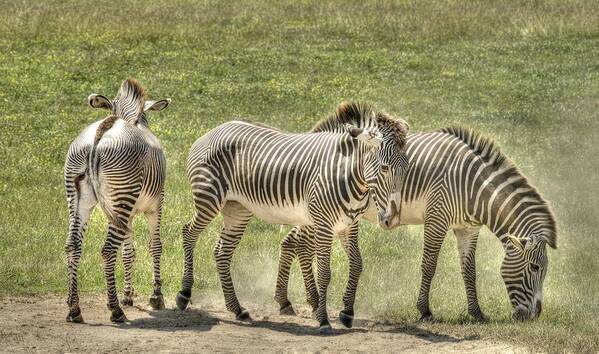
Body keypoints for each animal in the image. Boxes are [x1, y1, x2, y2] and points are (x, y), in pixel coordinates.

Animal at [63, 78, 171, 324]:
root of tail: (100, 133)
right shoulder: (156, 204)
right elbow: (155, 246)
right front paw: (156, 296)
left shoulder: (125, 213)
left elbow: (129, 252)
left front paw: (128, 295)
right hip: (122, 196)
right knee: (108, 250)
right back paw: (115, 310)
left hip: (78, 196)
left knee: (73, 245)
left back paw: (74, 308)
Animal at [173, 101, 408, 334]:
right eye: (385, 168)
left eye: (406, 168)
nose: (392, 220)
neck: (348, 173)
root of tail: (214, 130)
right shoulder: (323, 224)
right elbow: (324, 272)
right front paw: (323, 319)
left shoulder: (348, 224)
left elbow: (357, 264)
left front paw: (347, 313)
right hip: (209, 198)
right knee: (189, 233)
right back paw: (184, 294)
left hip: (237, 209)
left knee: (222, 251)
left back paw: (238, 309)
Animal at [276, 128, 556, 324]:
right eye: (534, 268)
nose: (534, 317)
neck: (473, 187)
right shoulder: (437, 218)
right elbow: (429, 265)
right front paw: (425, 311)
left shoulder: (468, 228)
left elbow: (469, 271)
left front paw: (477, 312)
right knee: (298, 244)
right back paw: (302, 302)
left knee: (293, 243)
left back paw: (292, 301)